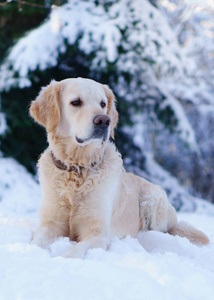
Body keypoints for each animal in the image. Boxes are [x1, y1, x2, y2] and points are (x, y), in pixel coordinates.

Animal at [30, 77, 209, 258]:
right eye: (76, 102)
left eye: (102, 103)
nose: (104, 121)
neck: (78, 168)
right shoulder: (50, 223)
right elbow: (36, 242)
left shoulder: (97, 233)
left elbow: (74, 251)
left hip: (153, 200)